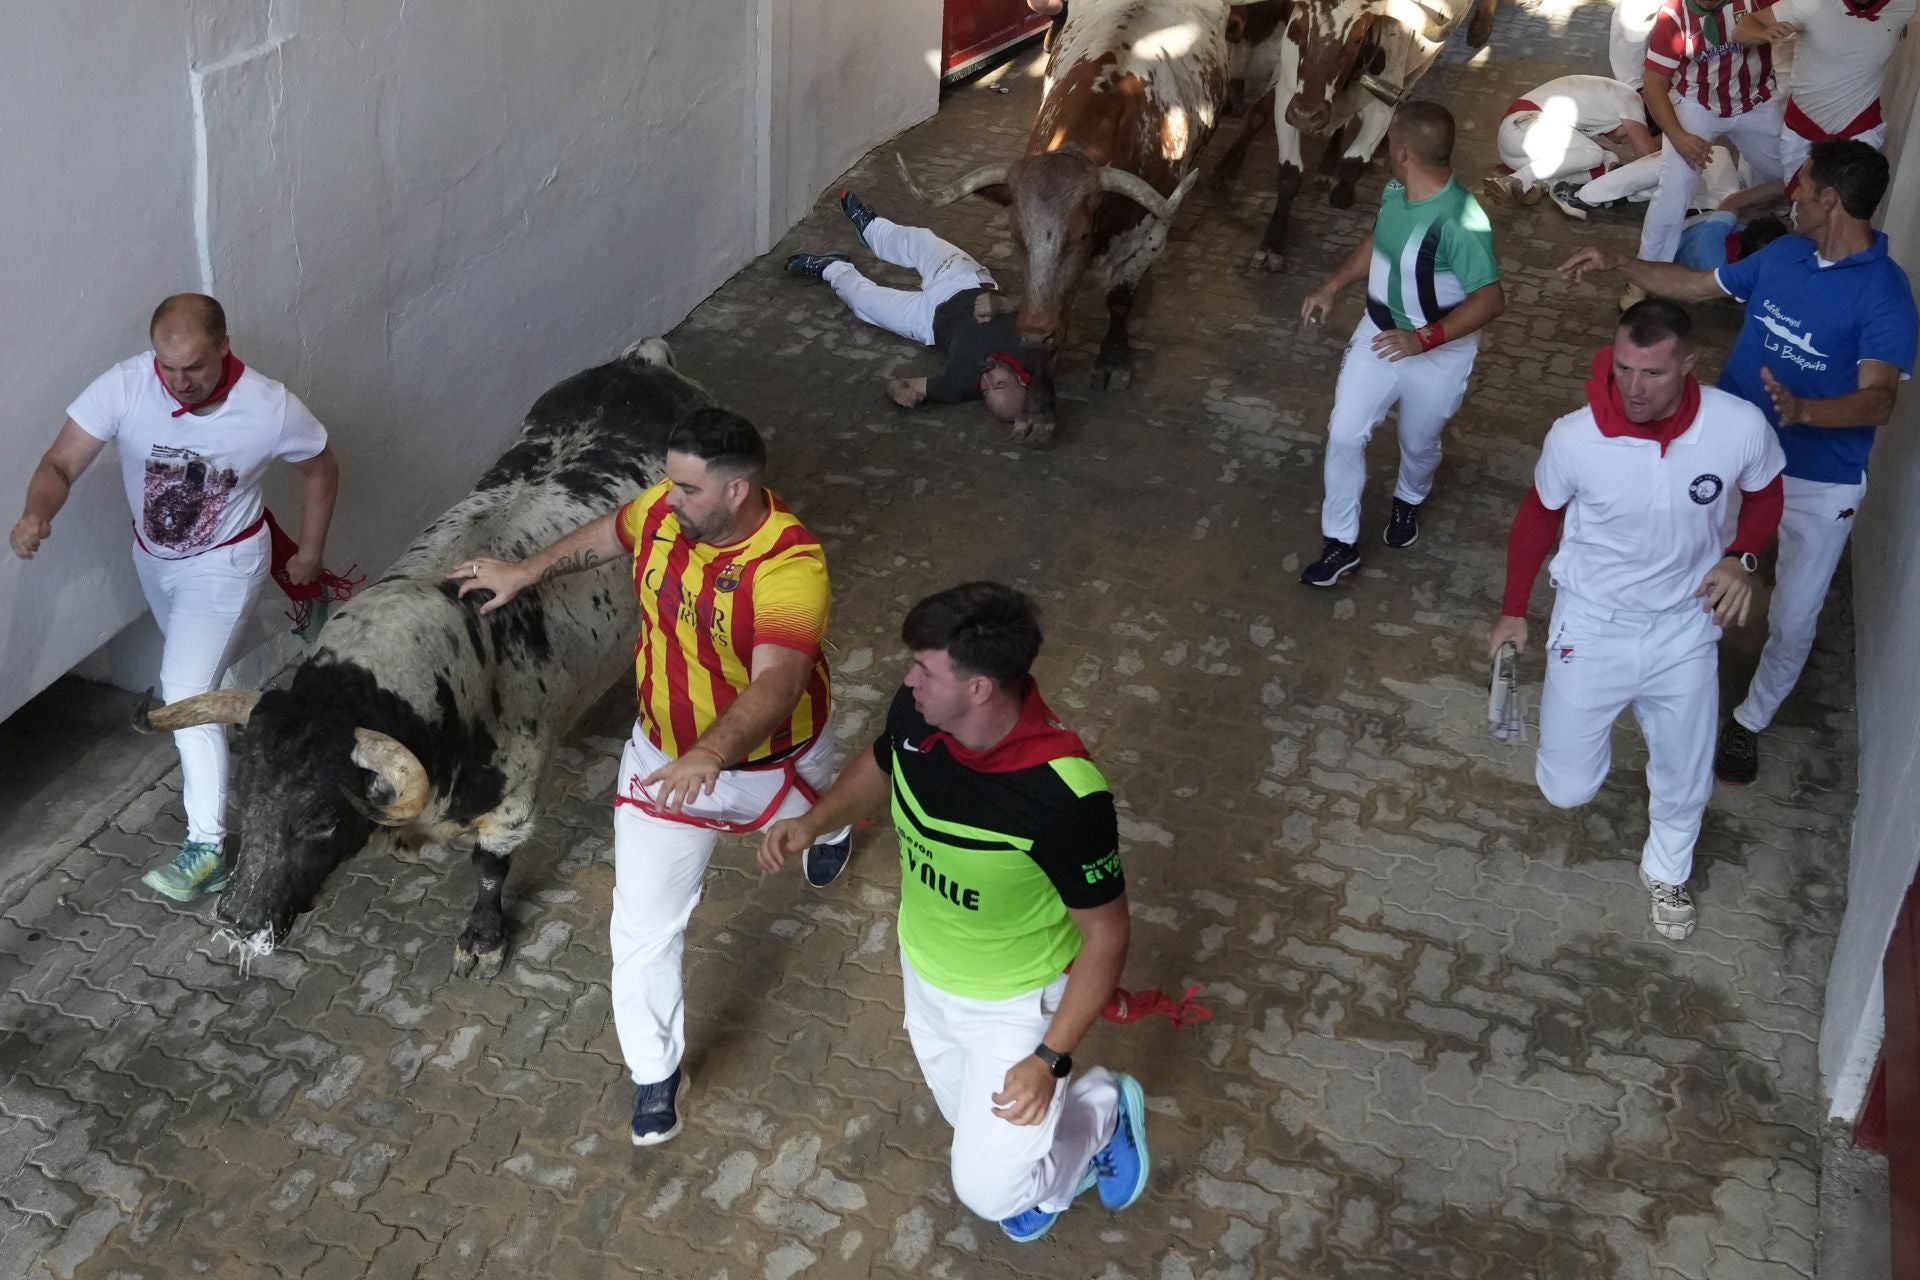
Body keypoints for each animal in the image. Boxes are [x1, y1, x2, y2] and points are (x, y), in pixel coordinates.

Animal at [898, 0, 1228, 429]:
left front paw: (1113, 361)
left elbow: (1120, 299)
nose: (1034, 329)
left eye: (1081, 236)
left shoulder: (1150, 237)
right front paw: (1039, 405)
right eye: (1016, 237)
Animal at [1213, 0, 1497, 270]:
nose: (1307, 115)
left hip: (1419, 69)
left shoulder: (1382, 107)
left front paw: (1344, 192)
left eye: (1356, 39)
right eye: (1299, 29)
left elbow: (1353, 164)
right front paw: (1271, 245)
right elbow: (1289, 174)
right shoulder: (1286, 96)